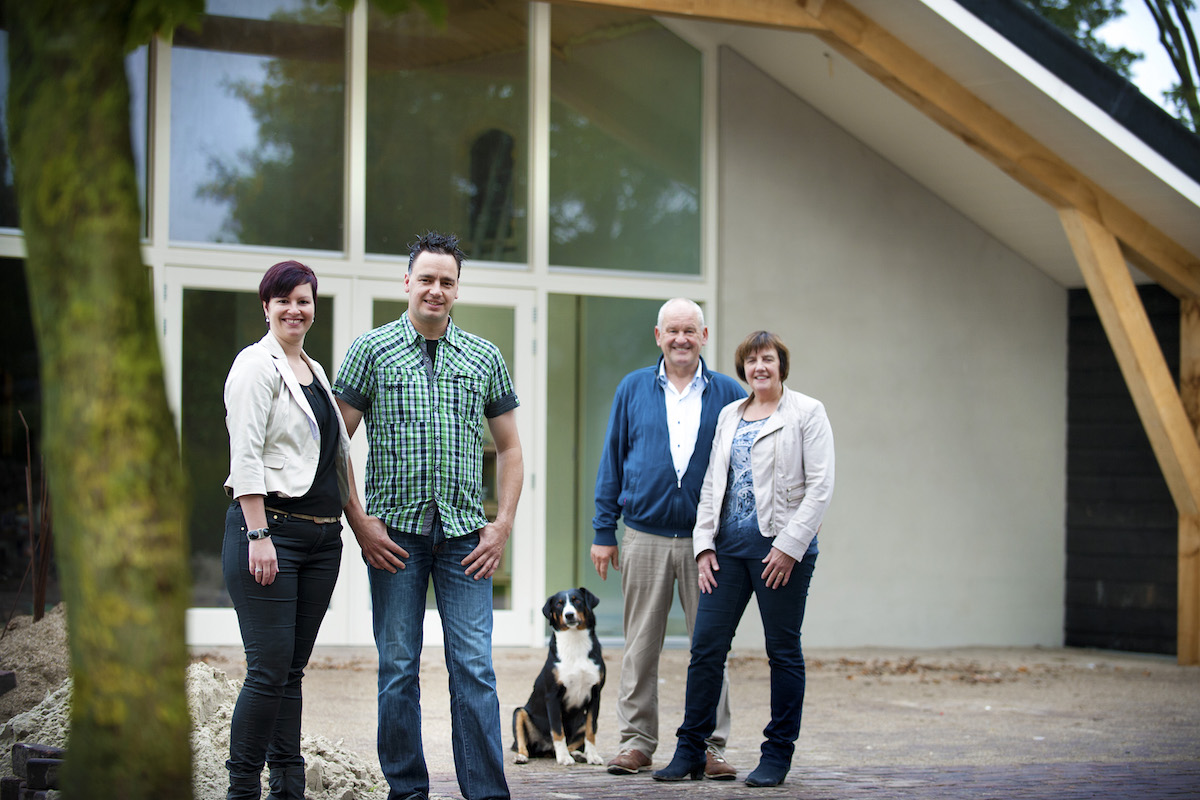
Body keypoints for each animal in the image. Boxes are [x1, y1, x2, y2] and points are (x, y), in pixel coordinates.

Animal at [511, 587, 604, 762]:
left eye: (577, 600)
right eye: (559, 604)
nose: (569, 615)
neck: (575, 643)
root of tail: (545, 750)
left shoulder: (595, 694)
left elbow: (591, 730)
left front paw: (593, 756)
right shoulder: (553, 695)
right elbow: (557, 730)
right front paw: (563, 758)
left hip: (581, 720)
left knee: (575, 740)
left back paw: (577, 754)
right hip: (519, 712)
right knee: (523, 743)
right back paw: (522, 756)